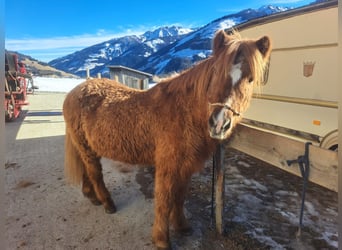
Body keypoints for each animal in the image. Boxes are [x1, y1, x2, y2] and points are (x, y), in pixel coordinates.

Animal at [64, 30, 272, 249]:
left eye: (250, 79)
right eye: (216, 72)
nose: (218, 123)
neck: (183, 112)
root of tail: (75, 91)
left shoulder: (186, 167)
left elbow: (179, 197)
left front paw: (181, 226)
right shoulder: (167, 166)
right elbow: (164, 201)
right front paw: (162, 239)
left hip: (85, 147)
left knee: (86, 170)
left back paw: (92, 196)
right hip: (86, 148)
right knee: (95, 173)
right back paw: (107, 204)